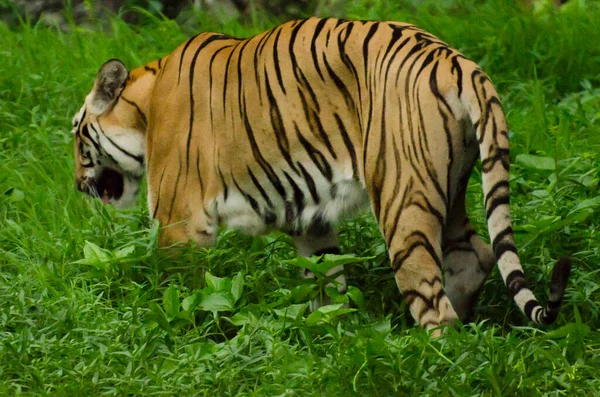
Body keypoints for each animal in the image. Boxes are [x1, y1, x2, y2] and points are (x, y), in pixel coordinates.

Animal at [71, 17, 572, 332]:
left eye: (77, 137)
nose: (77, 186)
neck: (147, 100)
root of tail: (456, 61)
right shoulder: (309, 217)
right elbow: (327, 283)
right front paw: (330, 337)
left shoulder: (179, 222)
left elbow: (181, 292)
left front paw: (180, 330)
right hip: (449, 187)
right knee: (476, 257)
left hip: (401, 195)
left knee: (432, 300)